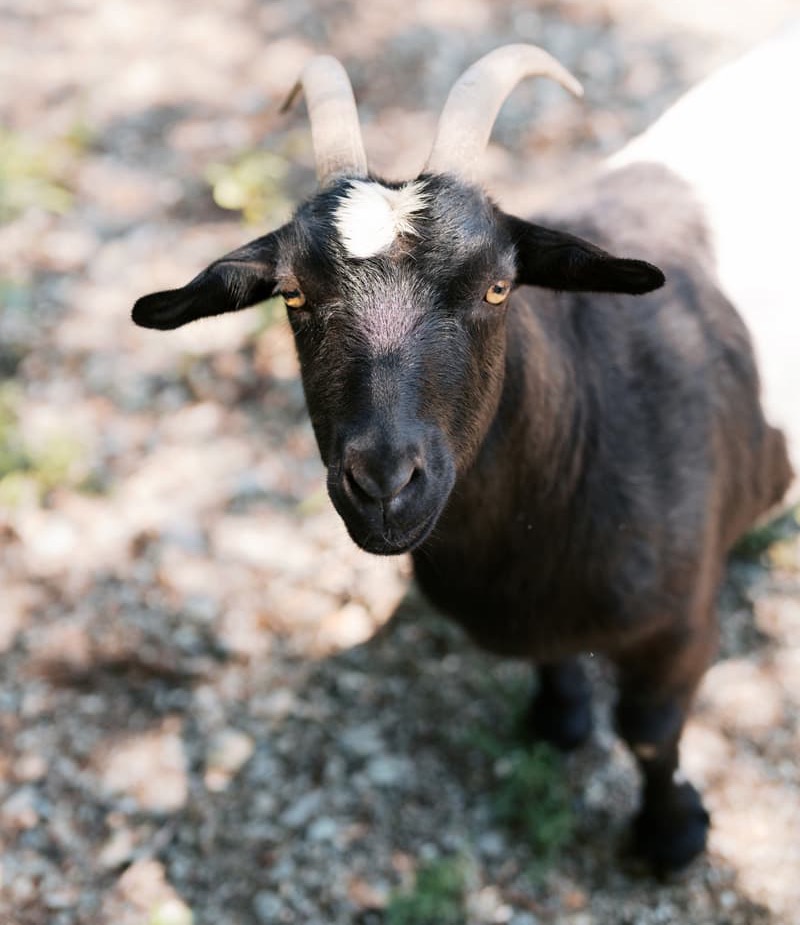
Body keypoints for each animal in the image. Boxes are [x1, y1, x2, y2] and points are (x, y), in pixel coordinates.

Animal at [132, 44, 795, 871]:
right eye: (292, 295)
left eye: (498, 286)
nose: (384, 483)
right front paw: (559, 718)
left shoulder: (680, 623)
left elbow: (650, 732)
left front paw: (671, 835)